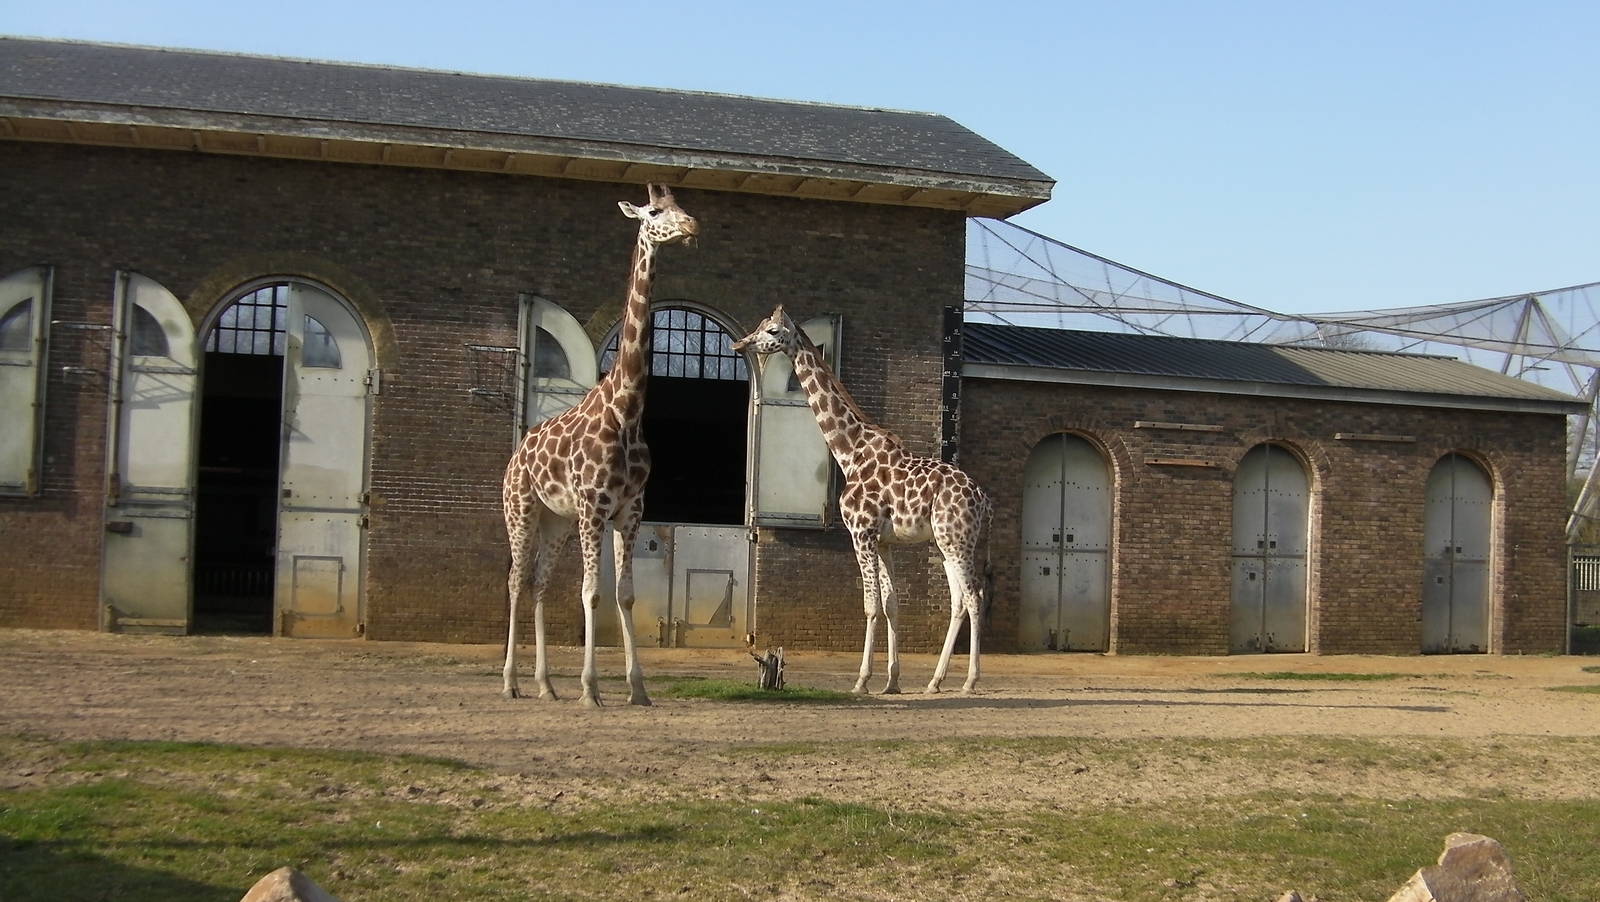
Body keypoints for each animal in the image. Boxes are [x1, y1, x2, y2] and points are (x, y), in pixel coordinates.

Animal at [501, 183, 698, 707]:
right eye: (654, 212)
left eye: (681, 205)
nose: (692, 226)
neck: (626, 409)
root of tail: (514, 458)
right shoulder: (594, 506)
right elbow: (590, 592)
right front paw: (591, 689)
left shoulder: (629, 510)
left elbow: (624, 595)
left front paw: (638, 688)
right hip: (521, 510)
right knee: (515, 580)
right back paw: (510, 682)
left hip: (557, 520)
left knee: (539, 582)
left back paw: (546, 685)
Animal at [733, 305, 993, 694]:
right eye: (761, 325)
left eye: (773, 331)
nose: (741, 343)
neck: (850, 451)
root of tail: (983, 500)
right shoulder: (884, 541)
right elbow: (892, 603)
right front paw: (892, 681)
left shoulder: (861, 533)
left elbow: (871, 605)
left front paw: (862, 680)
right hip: (948, 543)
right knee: (958, 600)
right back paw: (934, 681)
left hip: (957, 541)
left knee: (974, 597)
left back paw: (970, 681)